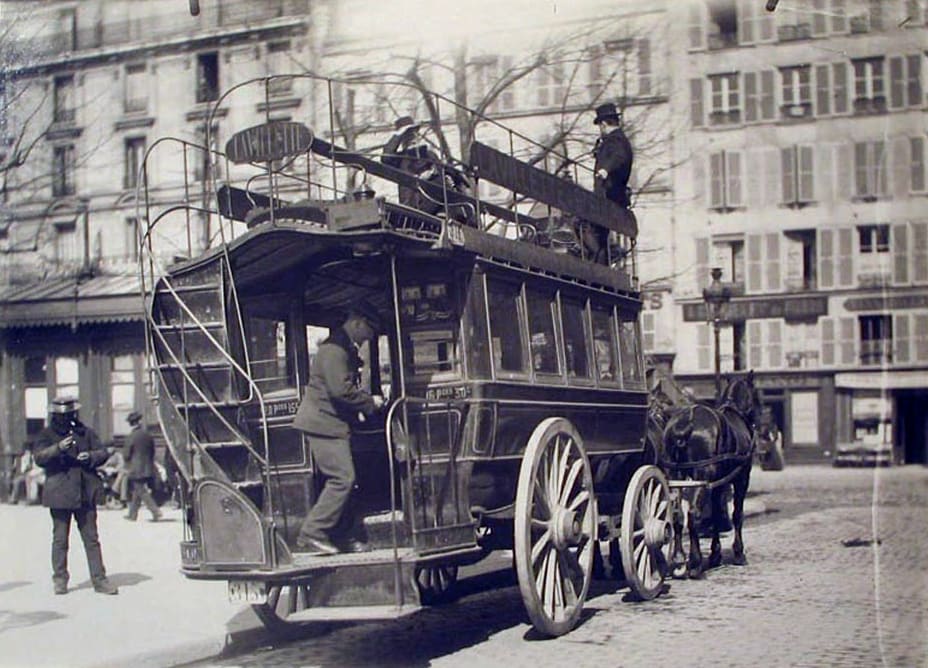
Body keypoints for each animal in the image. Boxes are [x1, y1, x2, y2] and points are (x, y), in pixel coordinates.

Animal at [656, 370, 756, 580]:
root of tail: (686, 421)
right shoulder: (741, 478)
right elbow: (737, 514)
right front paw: (738, 553)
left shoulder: (719, 483)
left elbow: (717, 513)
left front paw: (716, 554)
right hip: (701, 476)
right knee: (693, 514)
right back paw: (695, 563)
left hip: (674, 474)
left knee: (677, 515)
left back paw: (679, 560)